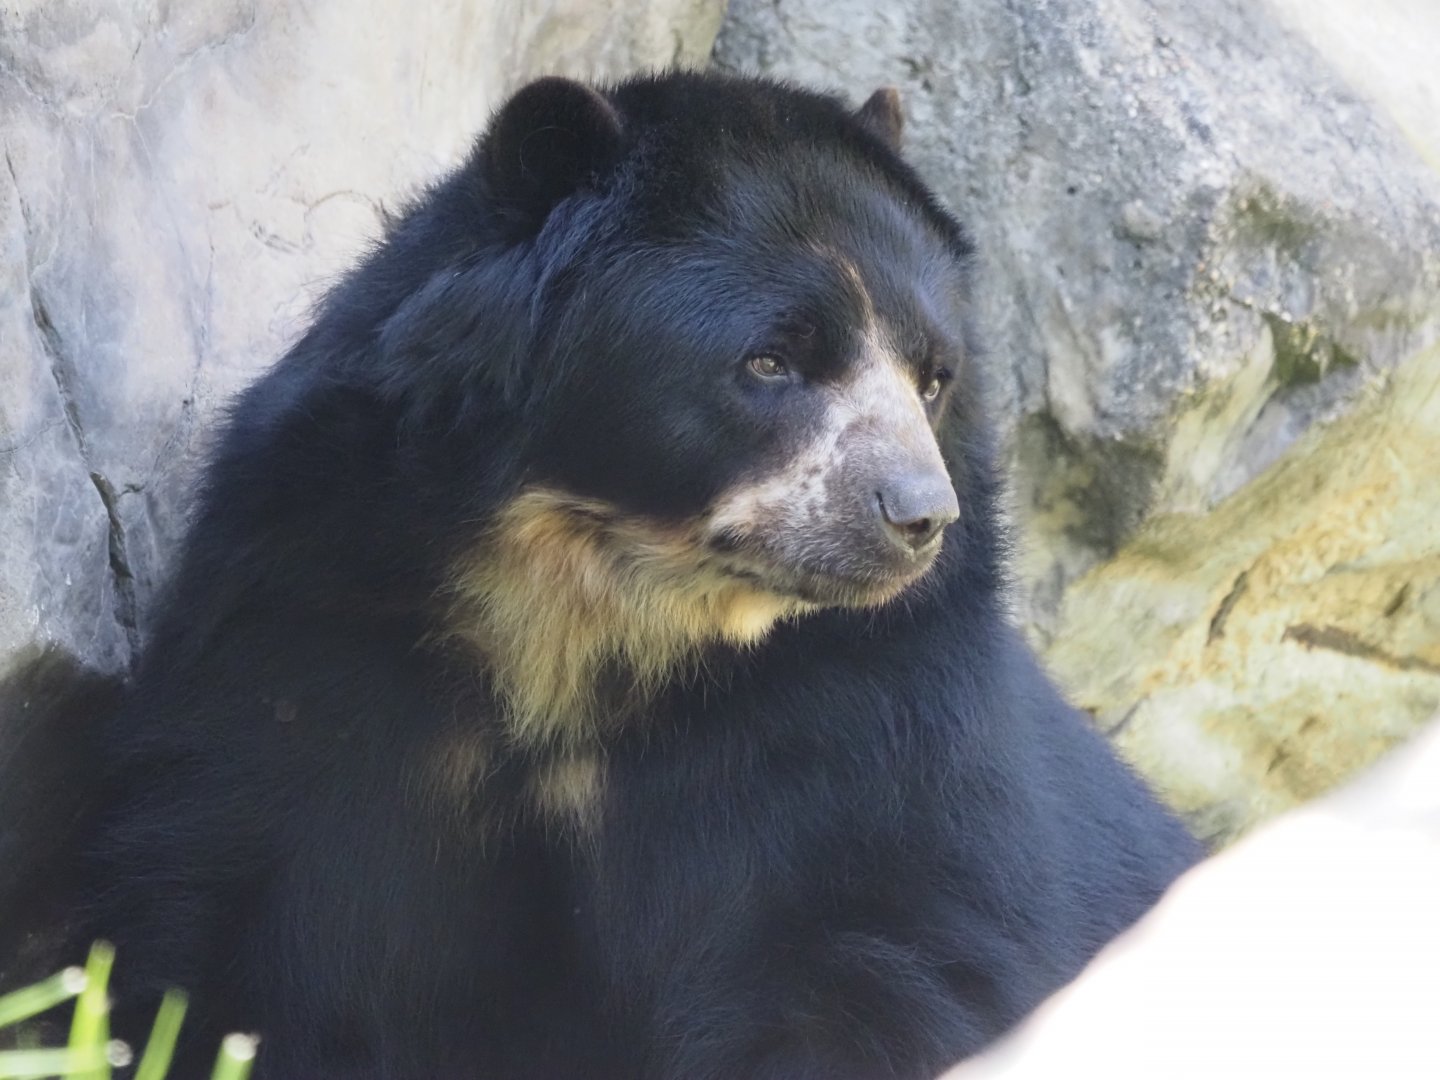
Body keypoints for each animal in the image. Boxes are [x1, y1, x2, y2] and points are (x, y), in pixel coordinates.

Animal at [27, 72, 1201, 1078]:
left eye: (934, 375)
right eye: (772, 360)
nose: (918, 517)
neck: (592, 606)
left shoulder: (872, 732)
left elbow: (876, 953)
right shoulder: (314, 641)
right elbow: (235, 911)